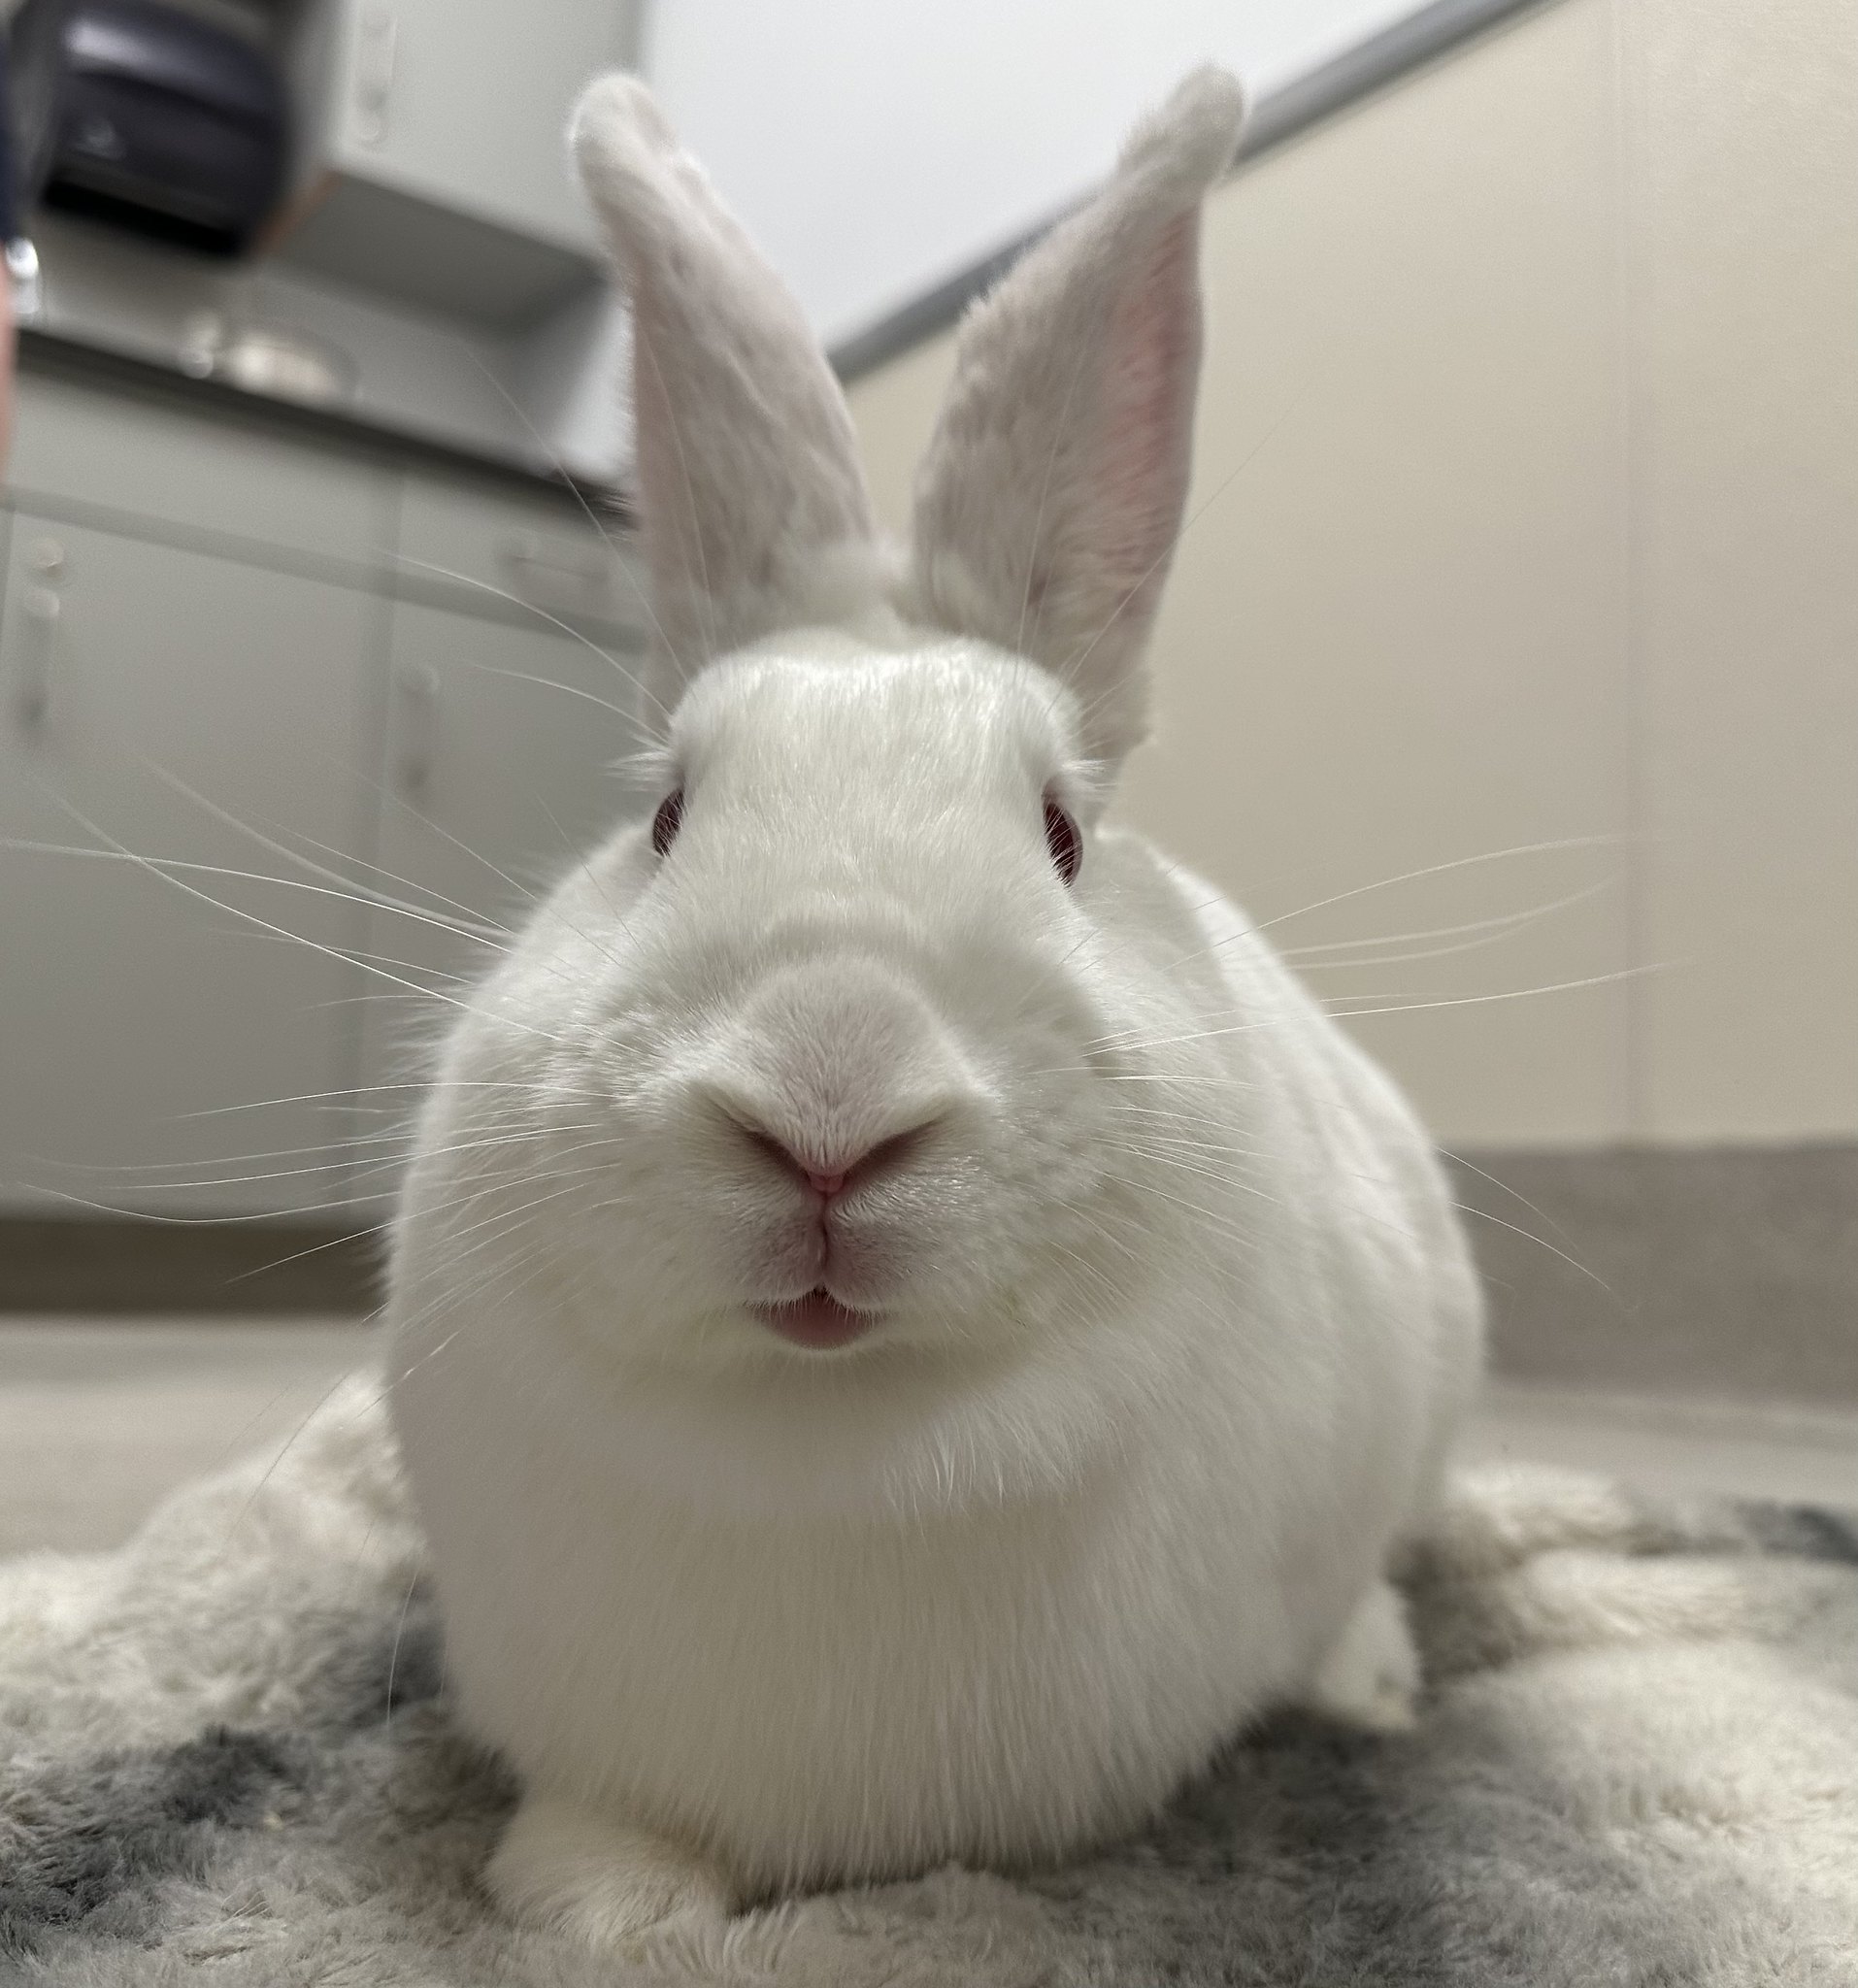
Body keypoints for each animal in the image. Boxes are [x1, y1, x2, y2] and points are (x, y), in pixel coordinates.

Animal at [384, 63, 1484, 1950]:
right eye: (664, 817)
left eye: (1059, 832)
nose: (825, 1108)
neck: (836, 1439)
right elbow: (606, 1833)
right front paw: (595, 1913)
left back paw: (1371, 1687)